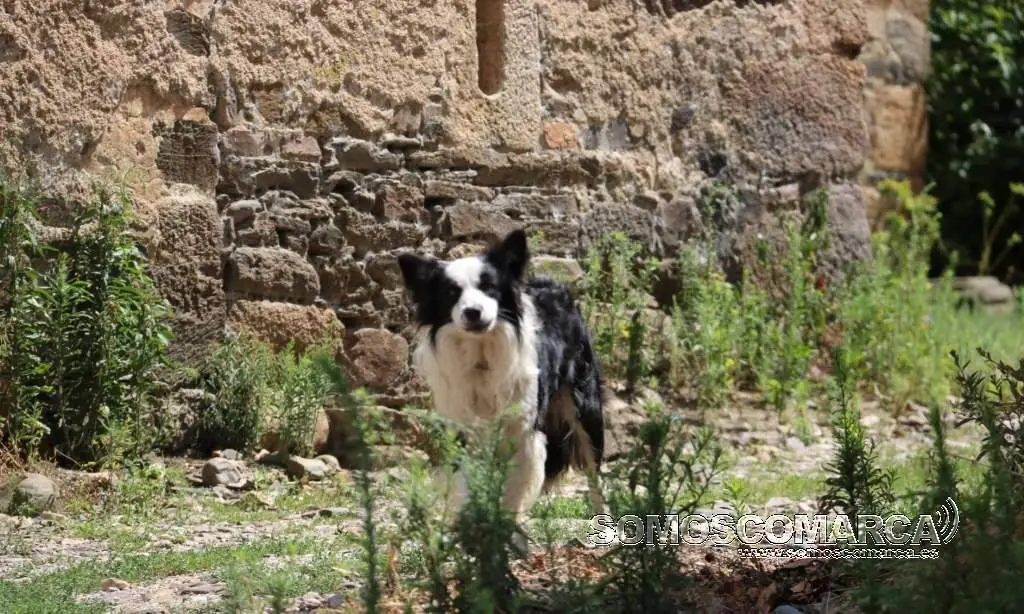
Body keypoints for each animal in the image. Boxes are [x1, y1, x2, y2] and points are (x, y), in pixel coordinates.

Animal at [397, 229, 607, 522]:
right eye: (452, 293)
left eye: (489, 287)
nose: (472, 312)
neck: (482, 355)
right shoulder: (463, 429)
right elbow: (466, 482)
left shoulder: (523, 432)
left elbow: (514, 489)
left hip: (585, 406)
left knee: (594, 472)